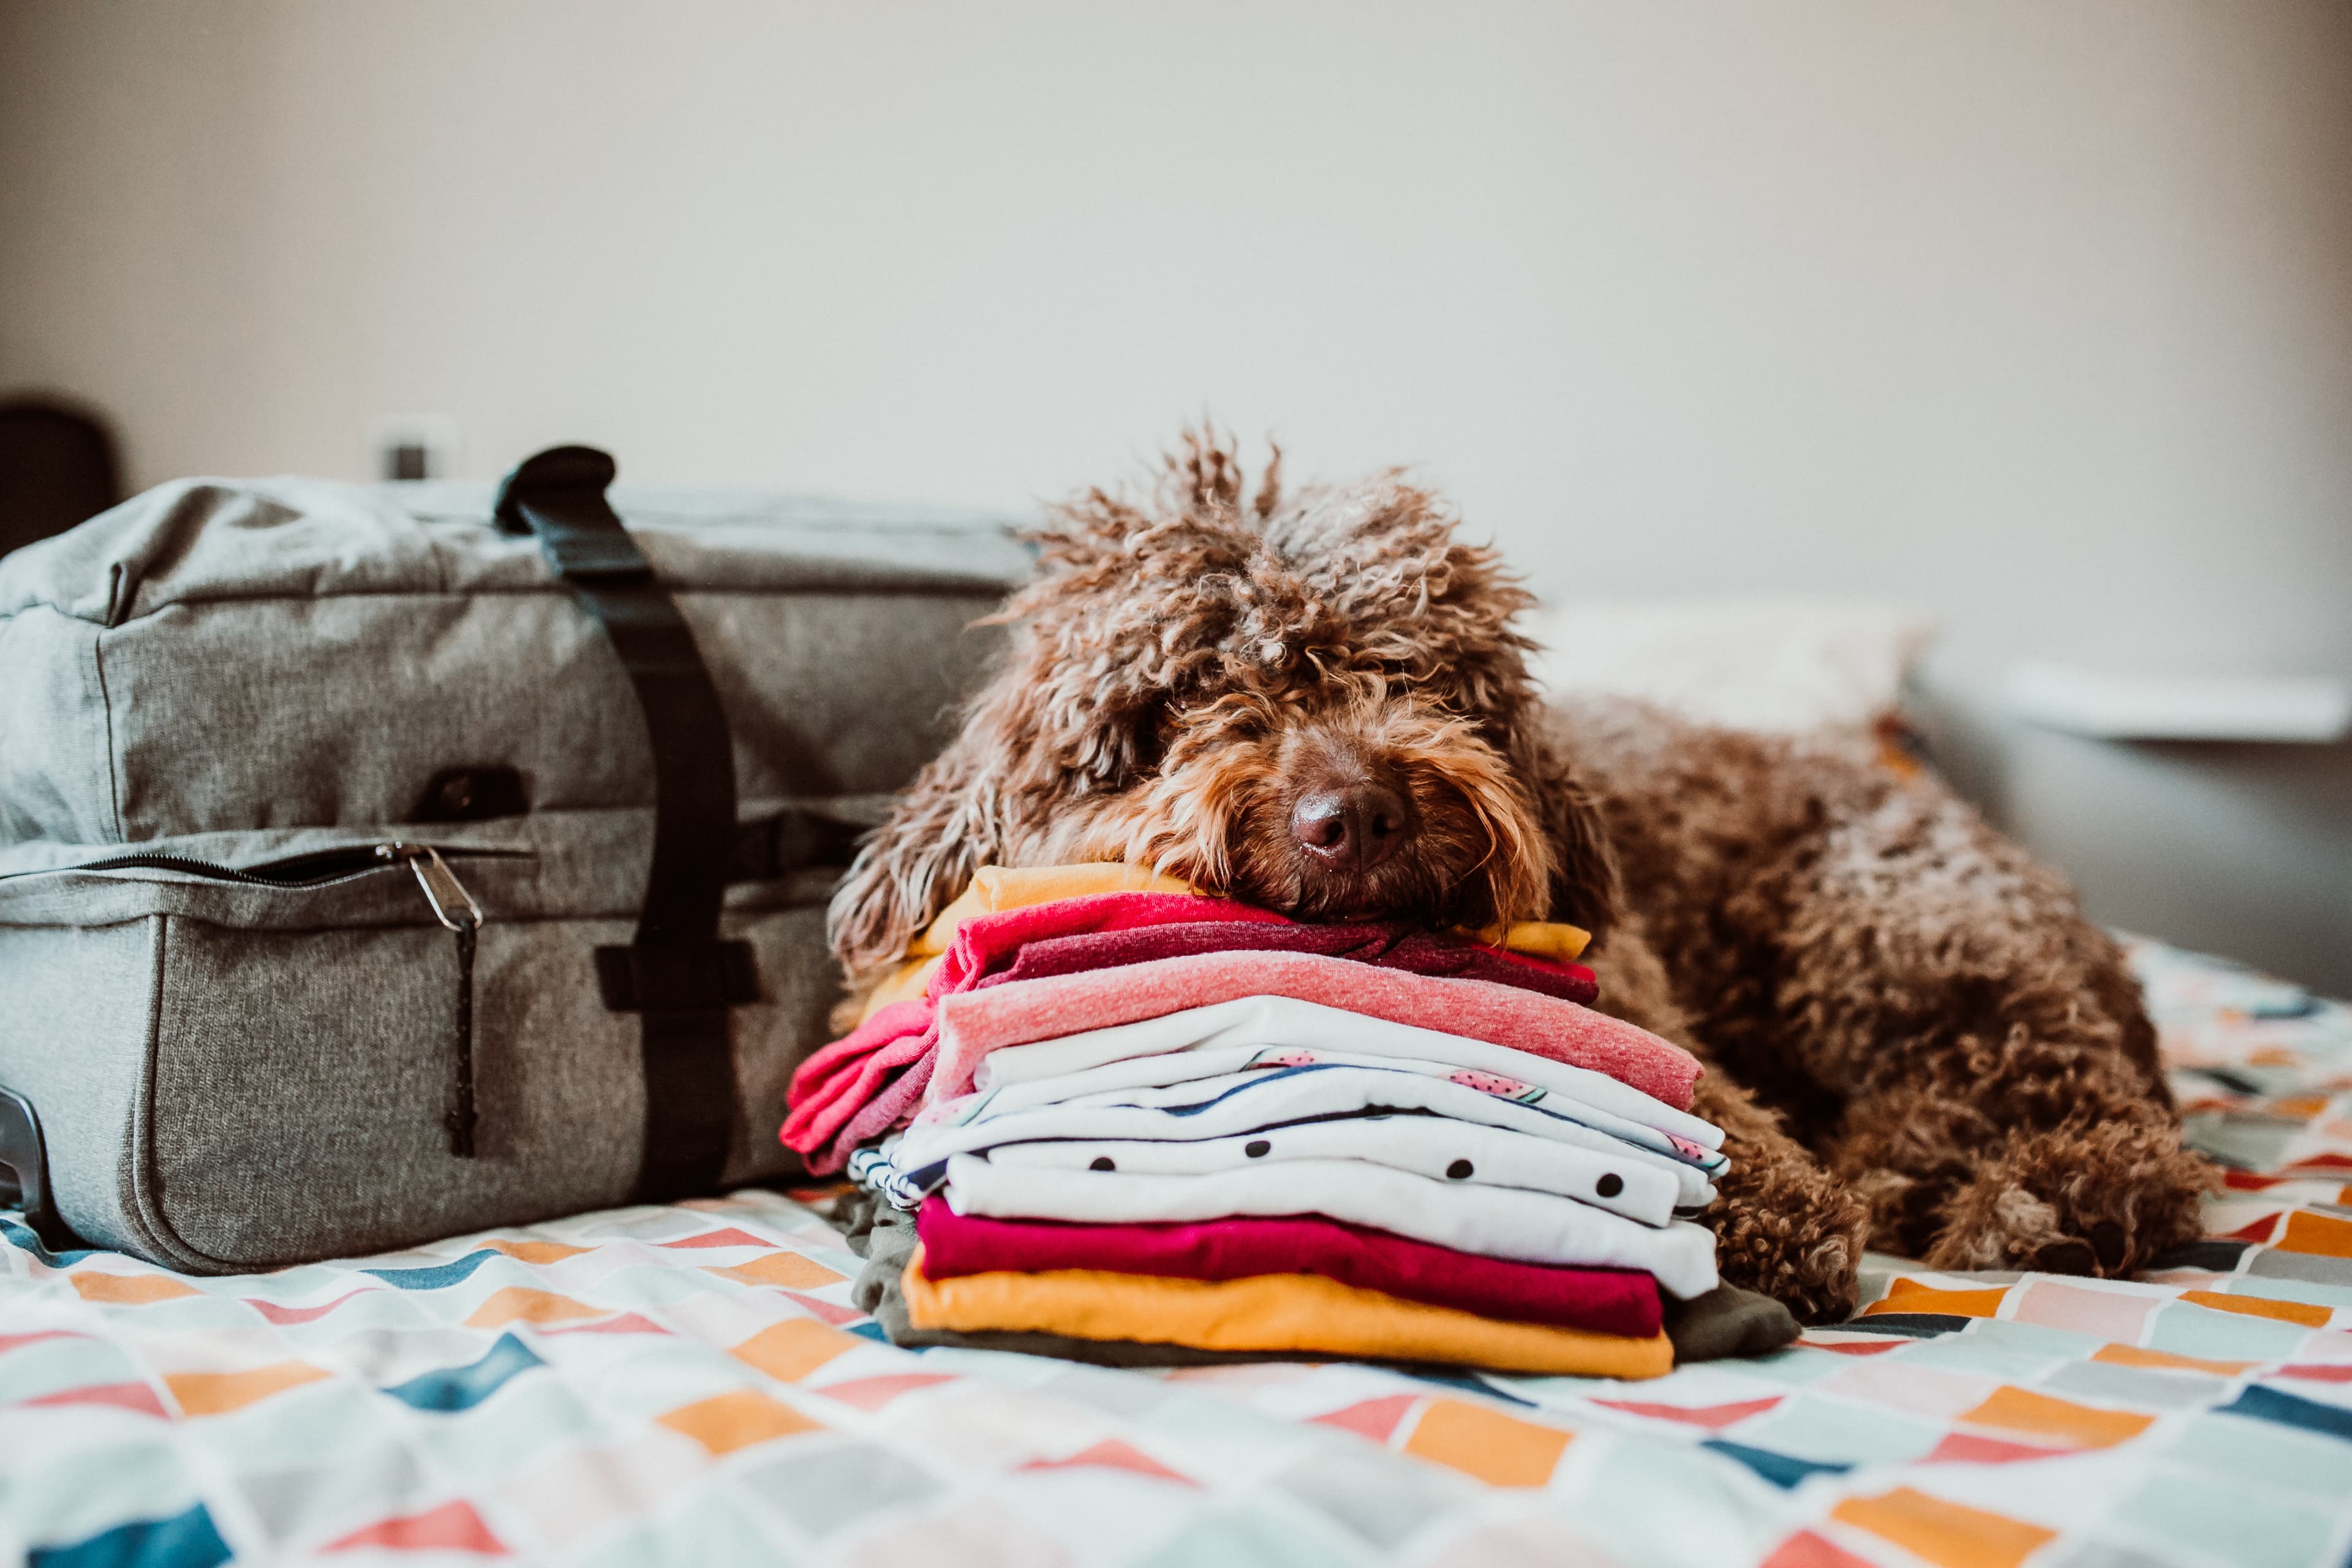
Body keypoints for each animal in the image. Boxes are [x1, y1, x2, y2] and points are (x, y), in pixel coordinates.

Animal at [837, 430, 2211, 1325]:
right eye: (1186, 699)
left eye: (1415, 674)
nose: (1356, 815)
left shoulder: (1645, 996)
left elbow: (1704, 1115)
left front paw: (1767, 1212)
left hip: (1898, 930)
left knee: (2083, 1118)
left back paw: (2051, 1197)